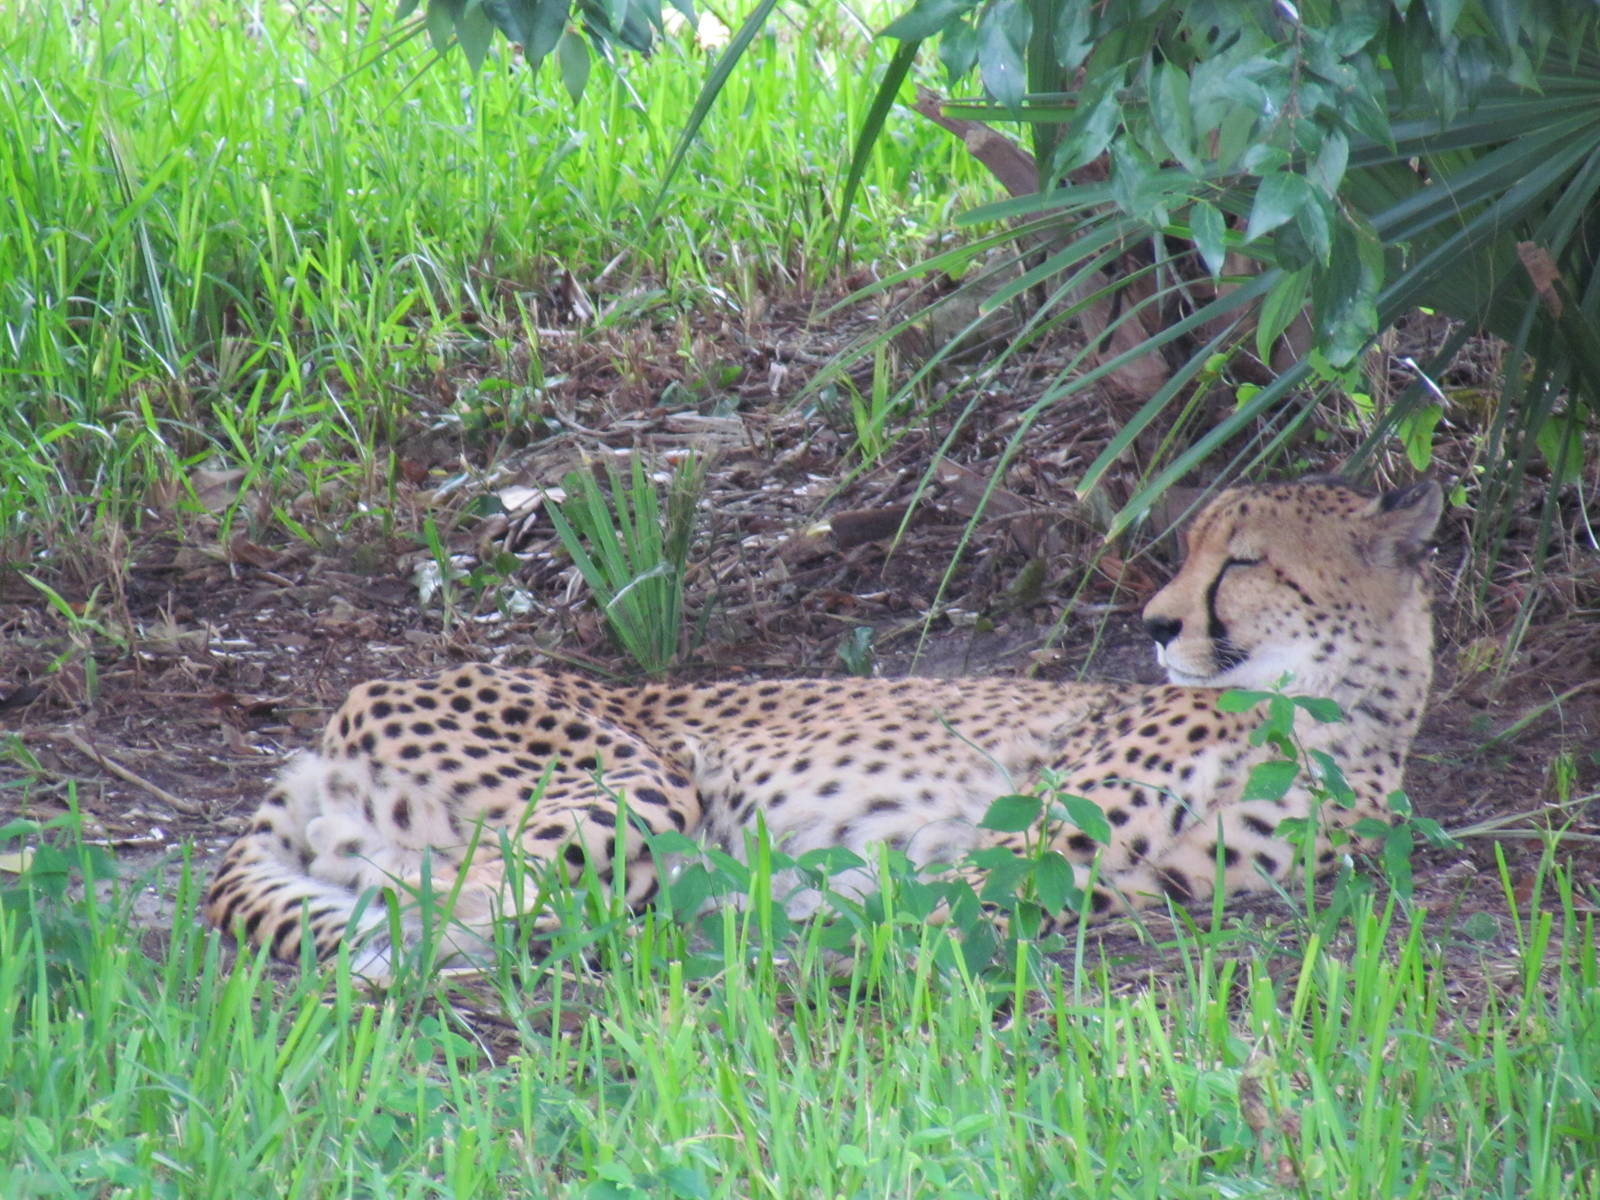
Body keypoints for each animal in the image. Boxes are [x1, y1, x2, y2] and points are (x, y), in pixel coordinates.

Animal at [205, 476, 1443, 975]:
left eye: (1241, 563)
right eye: (1188, 553)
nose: (1151, 624)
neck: (1327, 711)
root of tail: (318, 739)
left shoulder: (1140, 882)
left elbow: (986, 900)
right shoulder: (1034, 830)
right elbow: (948, 896)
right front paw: (832, 931)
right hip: (634, 787)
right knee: (470, 918)